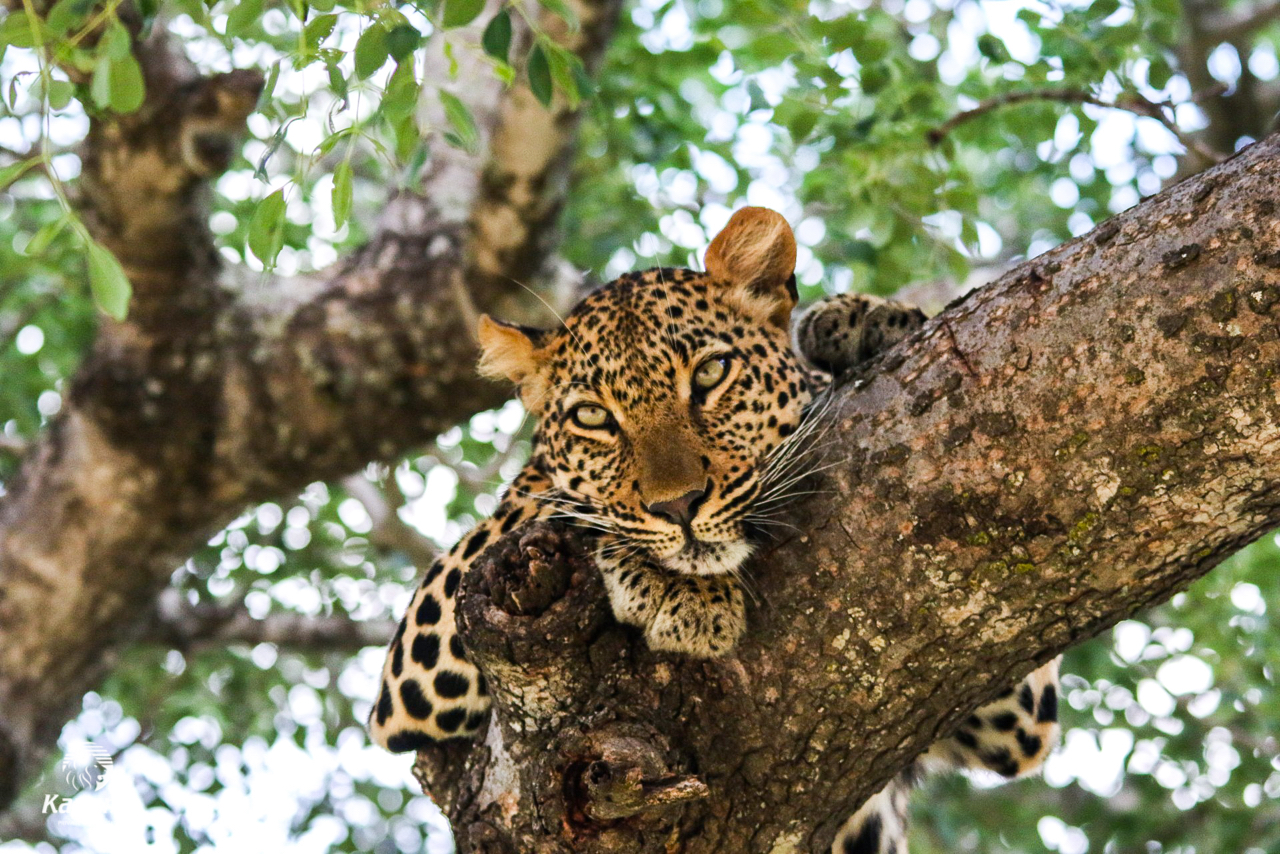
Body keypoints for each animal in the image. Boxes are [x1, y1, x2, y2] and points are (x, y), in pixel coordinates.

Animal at [370, 206, 1061, 853]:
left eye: (709, 374)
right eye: (593, 417)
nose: (680, 506)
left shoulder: (1013, 715)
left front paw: (861, 322)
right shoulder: (418, 662)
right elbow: (562, 504)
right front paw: (683, 593)